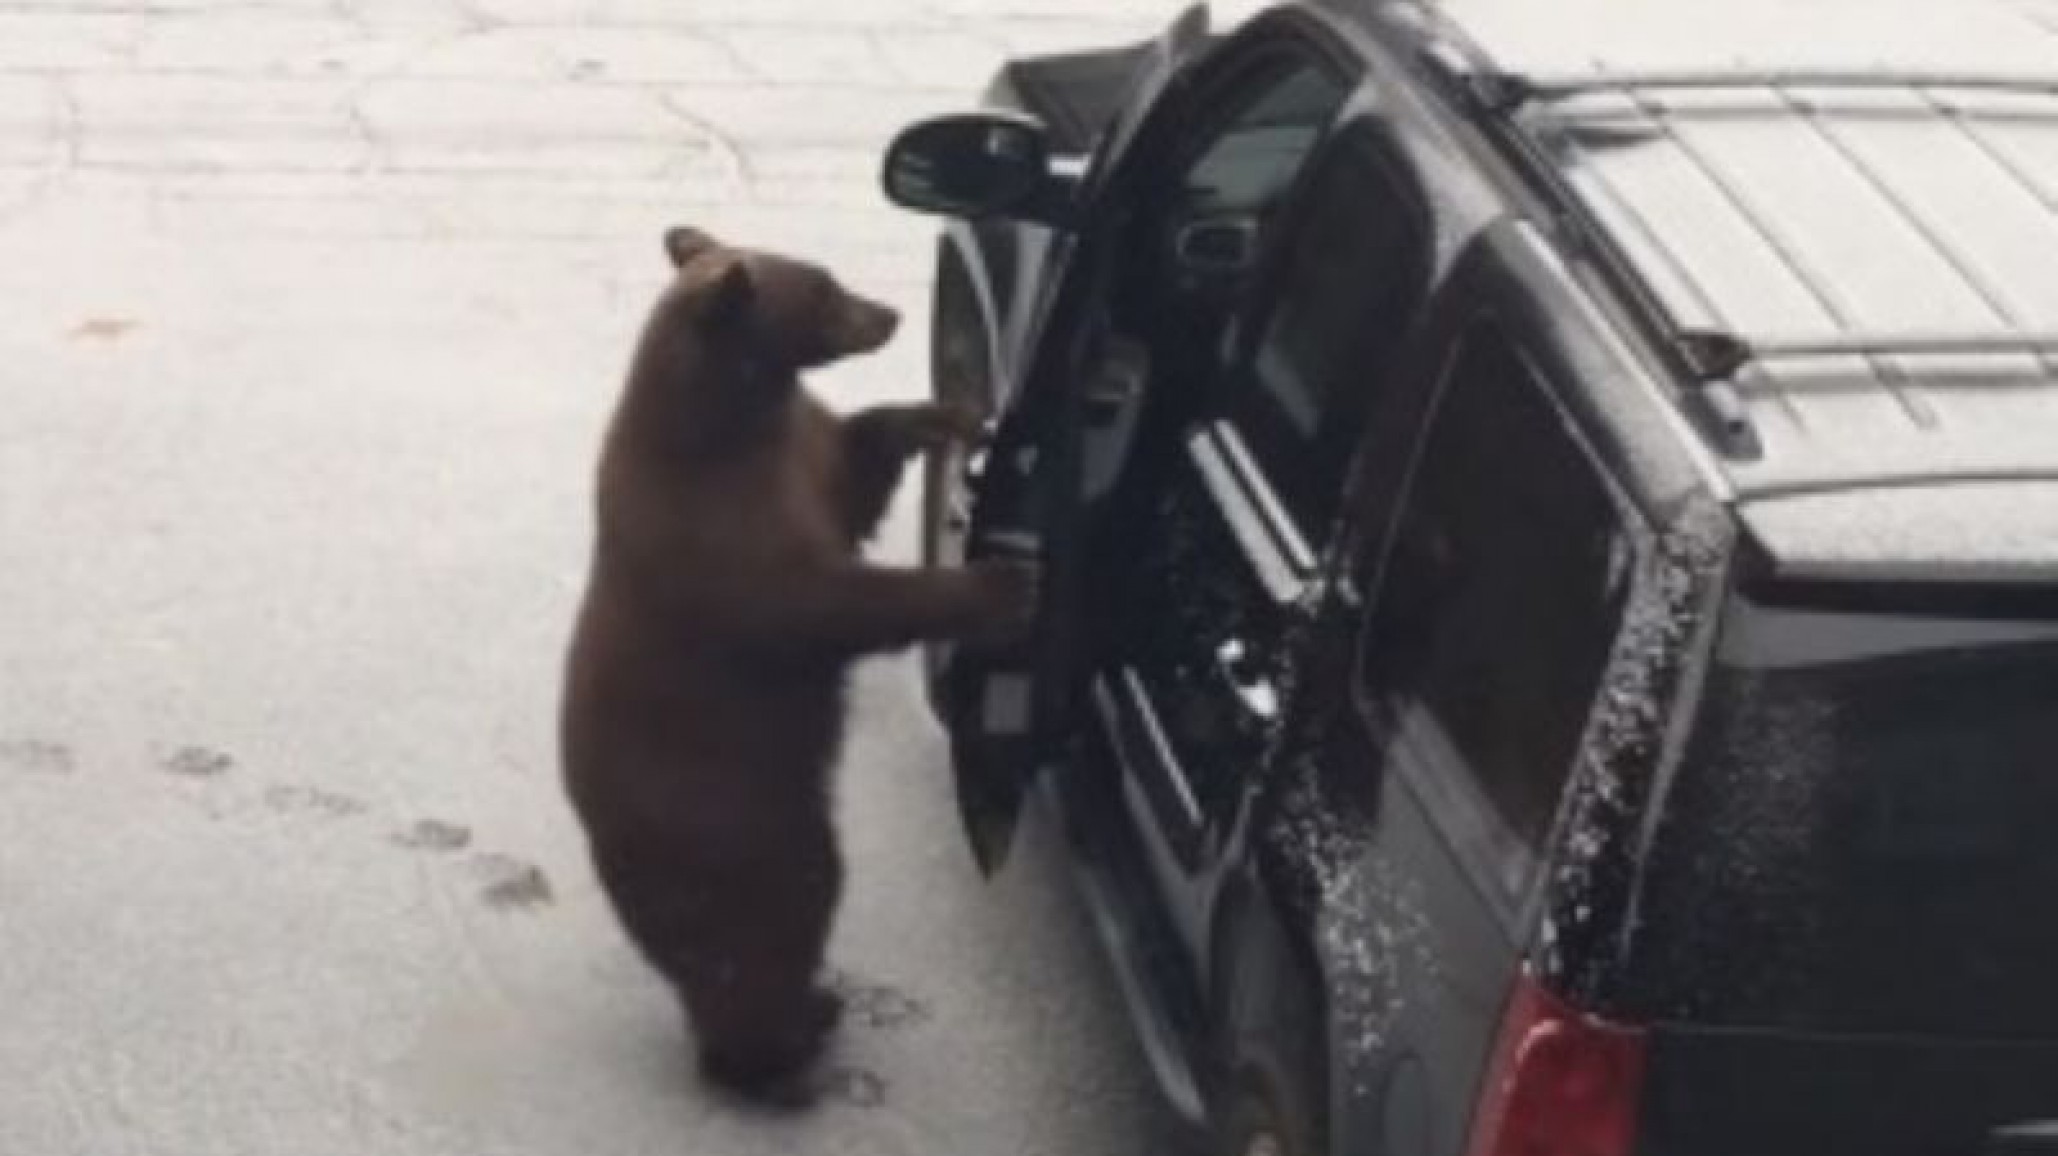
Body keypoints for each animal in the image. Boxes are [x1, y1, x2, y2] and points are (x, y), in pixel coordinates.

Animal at [559, 225, 1036, 1104]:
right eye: (824, 290)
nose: (891, 312)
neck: (727, 423)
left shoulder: (799, 456)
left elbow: (855, 461)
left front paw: (950, 413)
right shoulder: (717, 532)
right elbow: (825, 604)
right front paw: (1001, 585)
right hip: (741, 834)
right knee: (772, 933)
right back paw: (779, 1055)